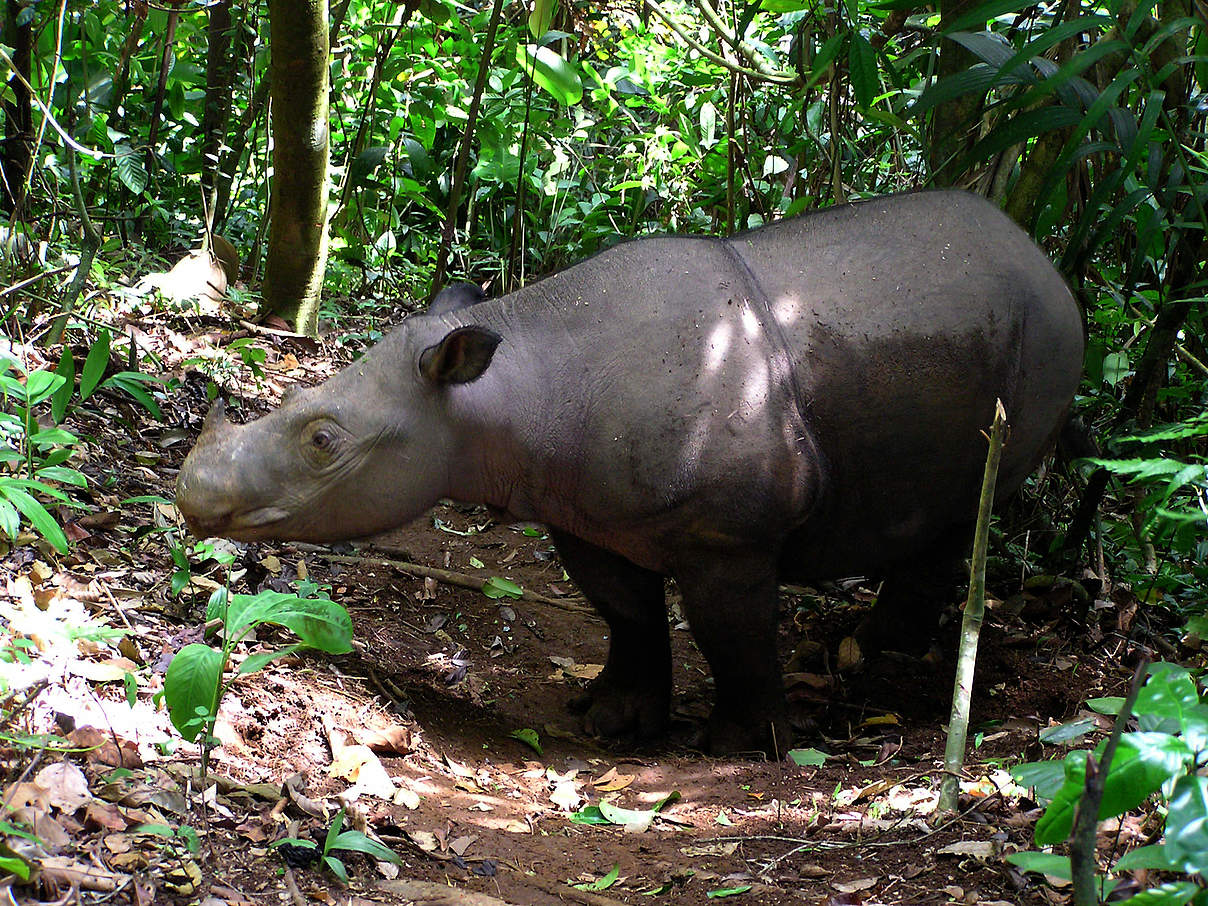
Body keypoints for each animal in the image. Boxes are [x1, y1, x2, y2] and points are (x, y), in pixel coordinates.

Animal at [172, 193, 1087, 758]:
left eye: (325, 440)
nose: (191, 497)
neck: (508, 387)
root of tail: (1039, 254)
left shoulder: (730, 534)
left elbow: (732, 633)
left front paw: (744, 748)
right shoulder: (582, 507)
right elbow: (626, 612)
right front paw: (614, 722)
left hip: (1046, 335)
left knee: (974, 506)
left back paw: (879, 656)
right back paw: (865, 649)